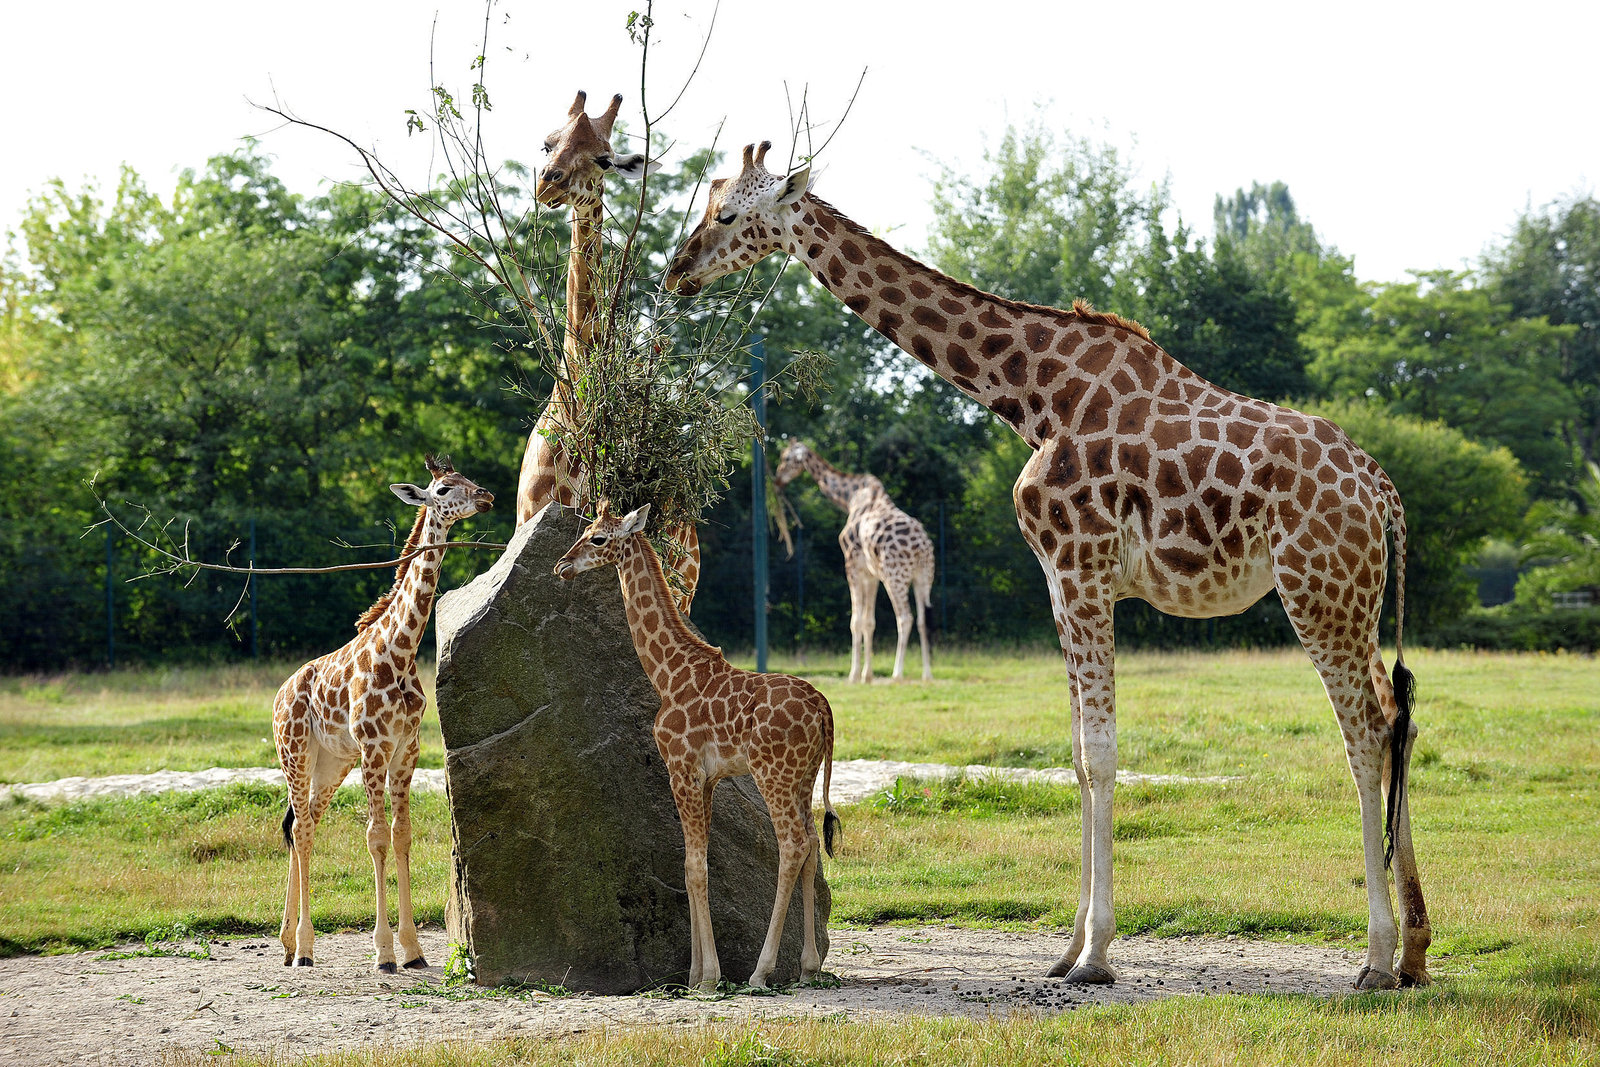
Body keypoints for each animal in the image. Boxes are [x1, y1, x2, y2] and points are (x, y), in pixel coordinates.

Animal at [273, 455, 493, 972]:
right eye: (444, 487)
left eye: (470, 479)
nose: (488, 497)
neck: (401, 650)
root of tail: (278, 695)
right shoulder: (374, 748)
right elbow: (375, 837)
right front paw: (384, 951)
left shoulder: (405, 749)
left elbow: (402, 836)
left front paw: (413, 950)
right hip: (295, 755)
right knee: (304, 830)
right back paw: (306, 948)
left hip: (331, 763)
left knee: (304, 824)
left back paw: (289, 943)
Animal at [554, 501, 840, 991]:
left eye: (597, 538)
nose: (562, 566)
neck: (667, 675)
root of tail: (822, 706)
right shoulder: (708, 779)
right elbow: (693, 867)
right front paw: (692, 974)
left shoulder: (682, 769)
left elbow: (693, 866)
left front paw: (708, 977)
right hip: (803, 777)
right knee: (811, 847)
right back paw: (807, 967)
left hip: (773, 773)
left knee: (793, 845)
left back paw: (761, 972)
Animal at [774, 440, 934, 683]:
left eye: (786, 458)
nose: (777, 480)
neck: (849, 498)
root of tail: (922, 548)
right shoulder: (871, 574)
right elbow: (869, 622)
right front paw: (867, 676)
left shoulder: (852, 565)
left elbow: (855, 621)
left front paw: (853, 675)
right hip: (922, 578)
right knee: (923, 621)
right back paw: (927, 674)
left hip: (895, 577)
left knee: (905, 618)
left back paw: (897, 674)